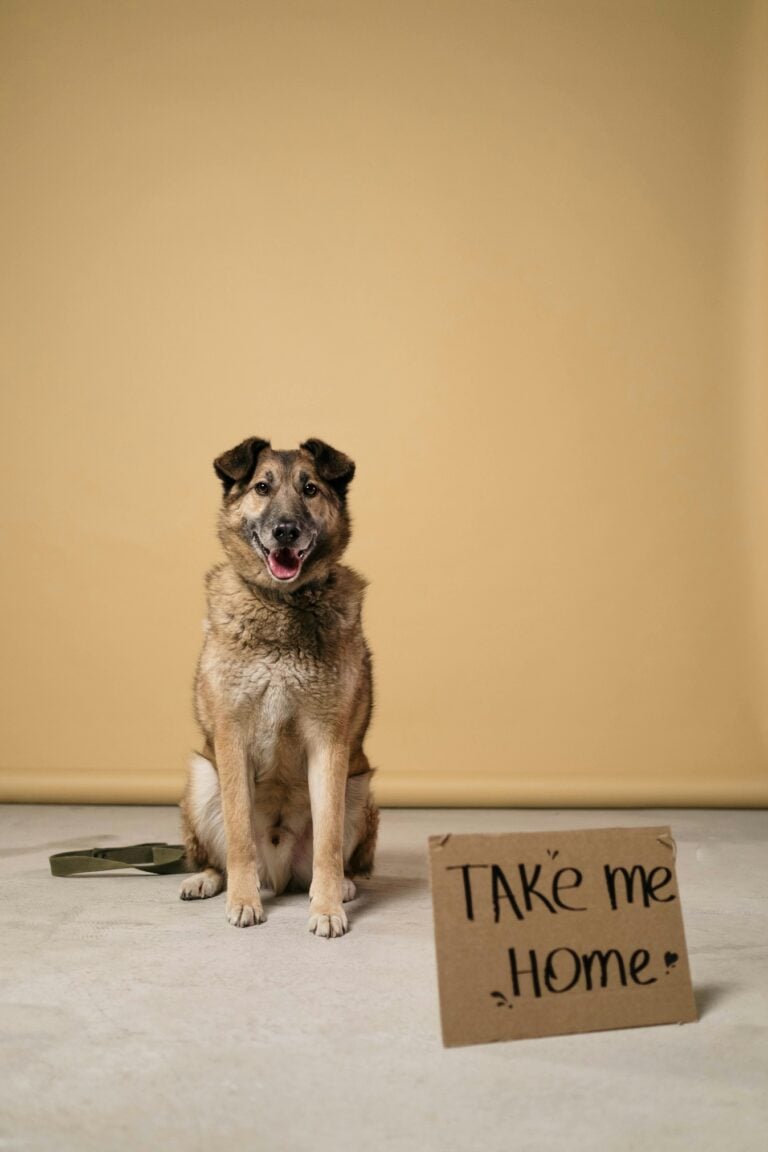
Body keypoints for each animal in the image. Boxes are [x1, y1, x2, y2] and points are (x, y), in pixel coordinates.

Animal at [179, 437, 382, 935]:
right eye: (262, 487)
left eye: (310, 489)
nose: (286, 531)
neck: (281, 606)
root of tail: (280, 870)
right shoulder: (231, 738)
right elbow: (238, 836)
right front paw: (243, 900)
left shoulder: (329, 744)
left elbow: (328, 841)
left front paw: (327, 908)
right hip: (201, 777)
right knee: (222, 856)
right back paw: (208, 879)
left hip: (360, 789)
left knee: (338, 855)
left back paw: (343, 886)